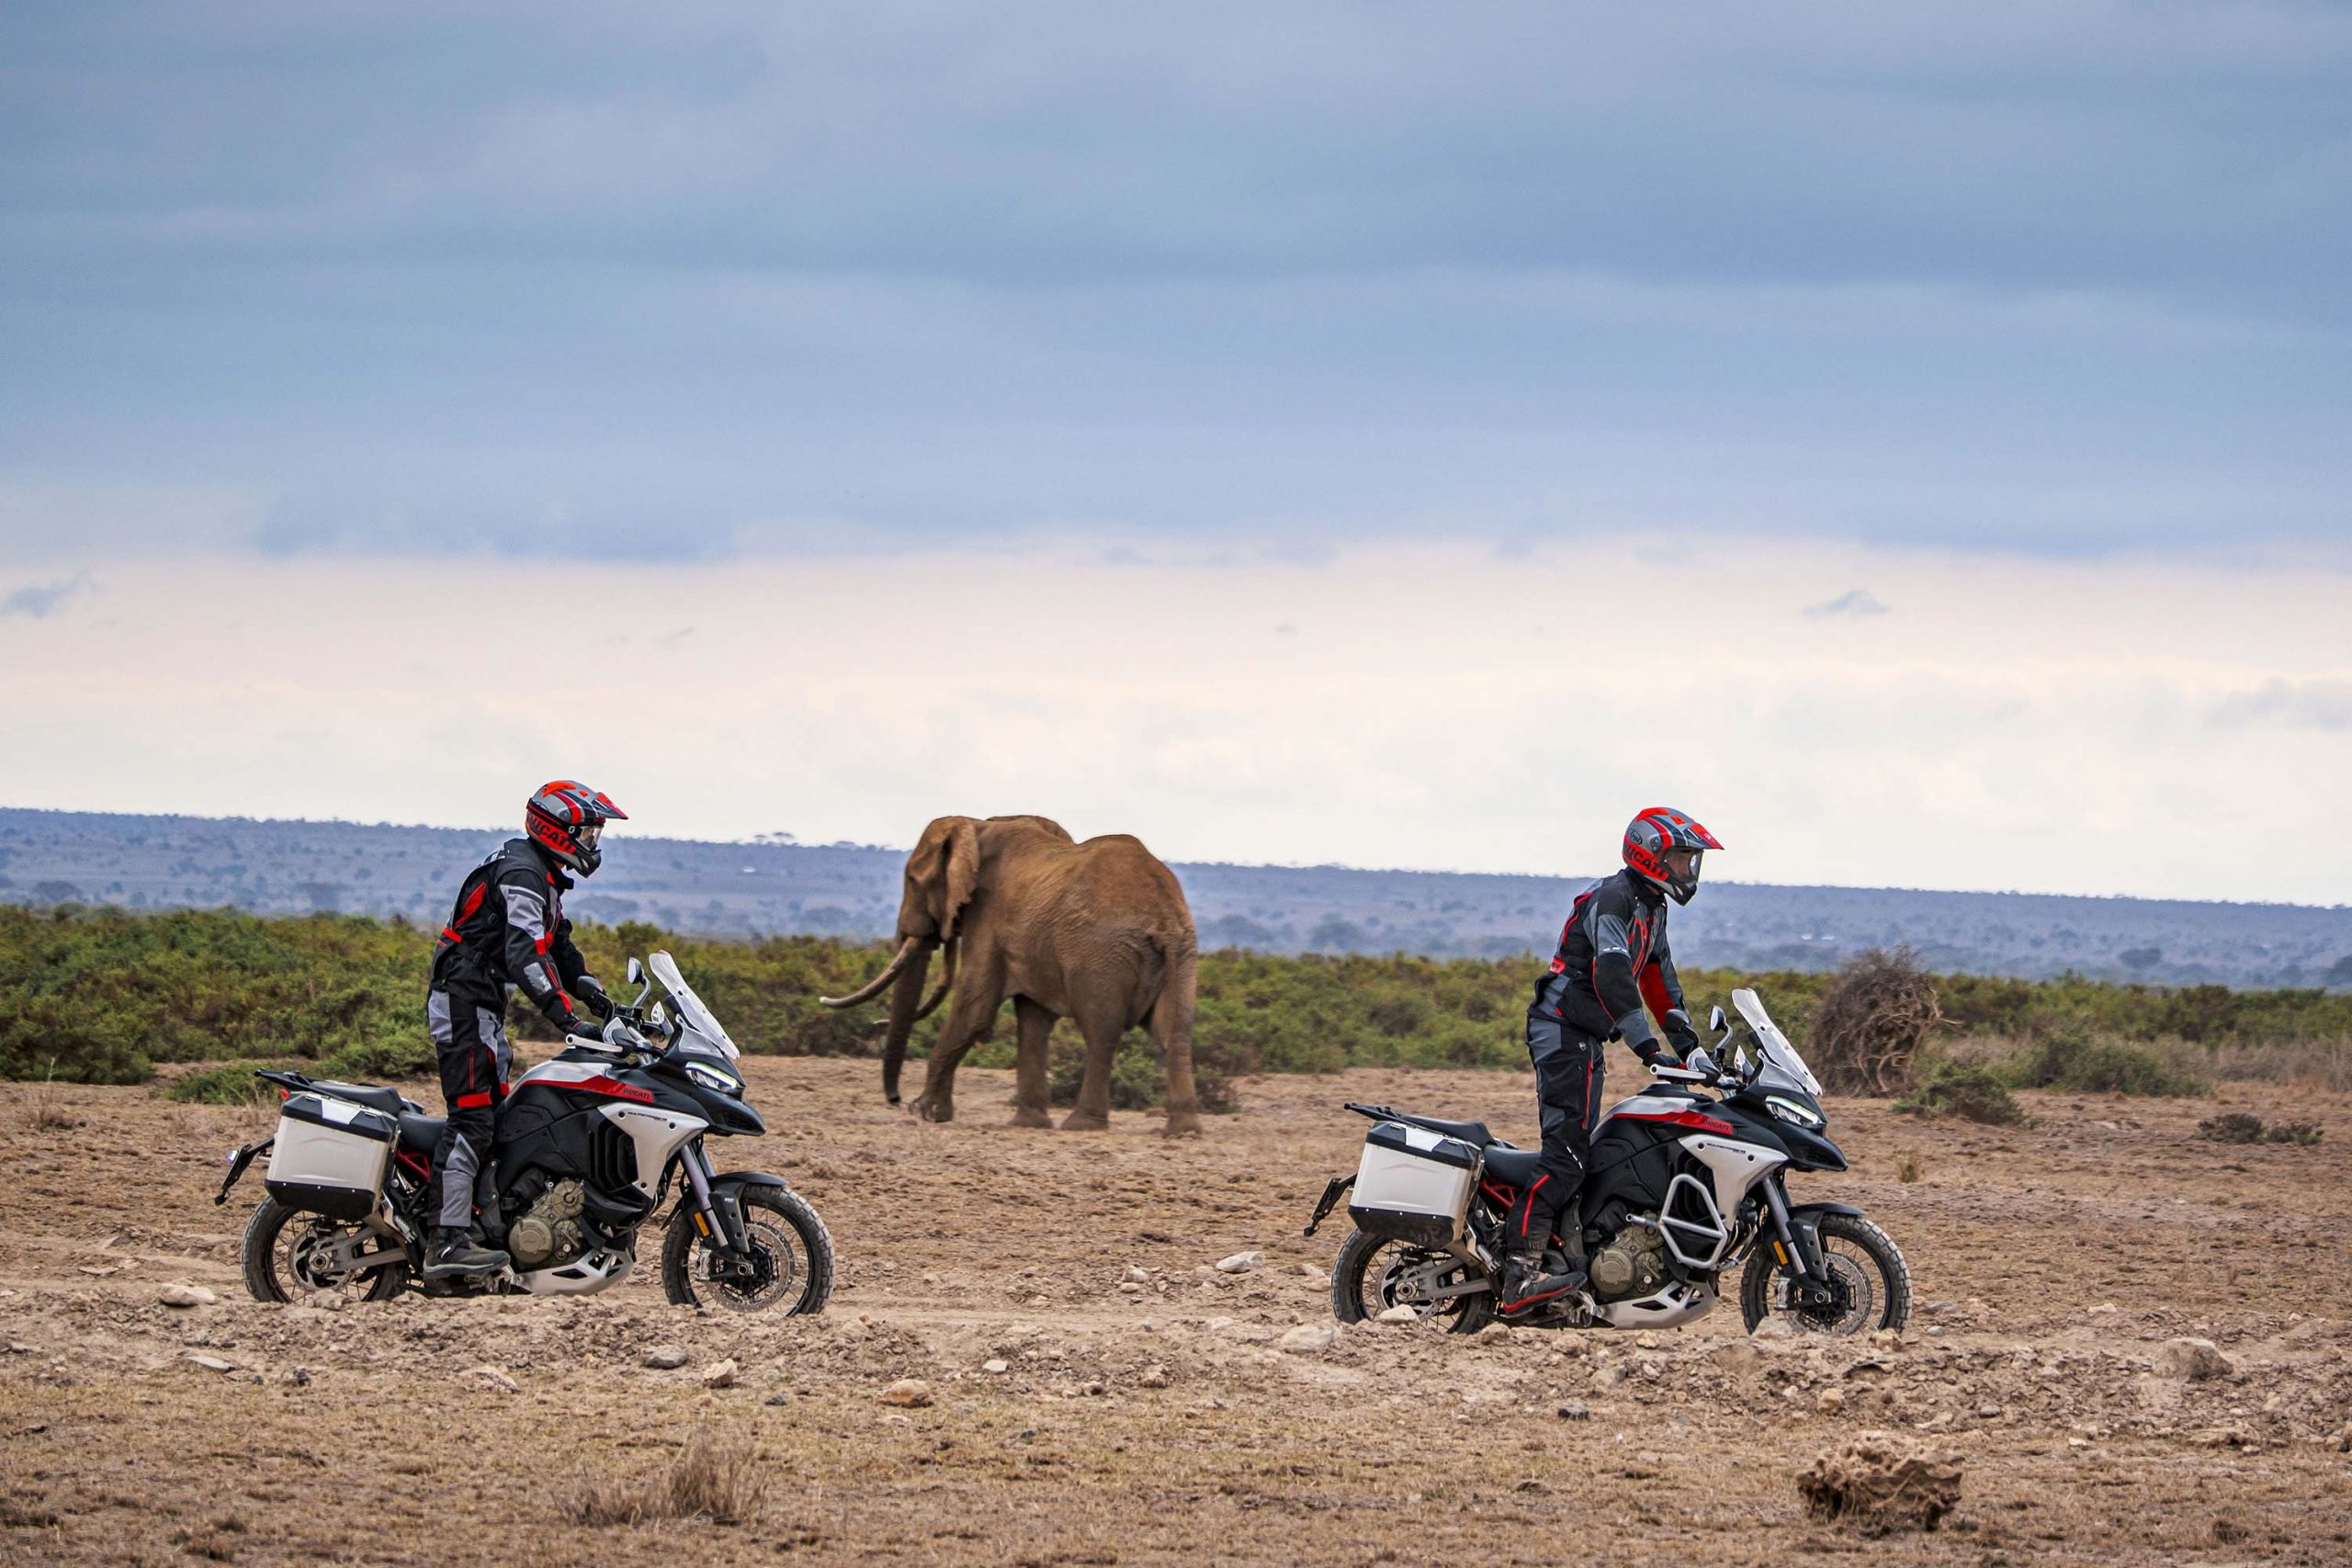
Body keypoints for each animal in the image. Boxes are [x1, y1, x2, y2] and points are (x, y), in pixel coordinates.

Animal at [819, 814, 1203, 1134]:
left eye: (913, 881)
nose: (896, 1100)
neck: (976, 826)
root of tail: (1163, 916)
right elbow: (1033, 1019)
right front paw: (1028, 1124)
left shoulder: (988, 915)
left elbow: (975, 1004)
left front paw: (926, 1113)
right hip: (1184, 951)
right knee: (1175, 1030)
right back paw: (1183, 1130)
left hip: (1101, 954)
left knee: (1101, 1030)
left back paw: (1082, 1125)